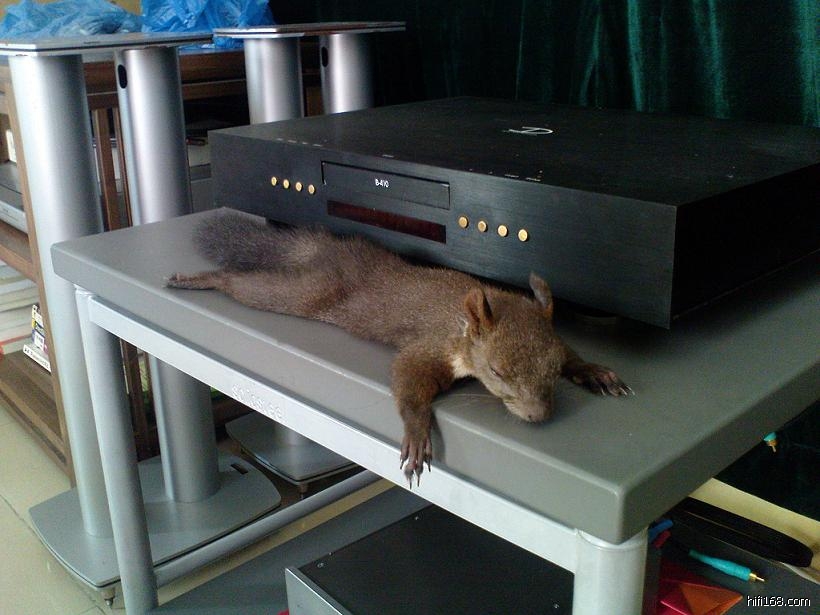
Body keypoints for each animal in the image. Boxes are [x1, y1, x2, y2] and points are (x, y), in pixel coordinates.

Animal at [167, 211, 632, 486]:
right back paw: (202, 279)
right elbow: (408, 380)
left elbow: (574, 353)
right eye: (497, 371)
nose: (538, 416)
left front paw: (595, 371)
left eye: (553, 368)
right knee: (246, 284)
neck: (467, 325)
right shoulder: (432, 346)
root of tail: (330, 250)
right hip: (307, 293)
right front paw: (417, 435)